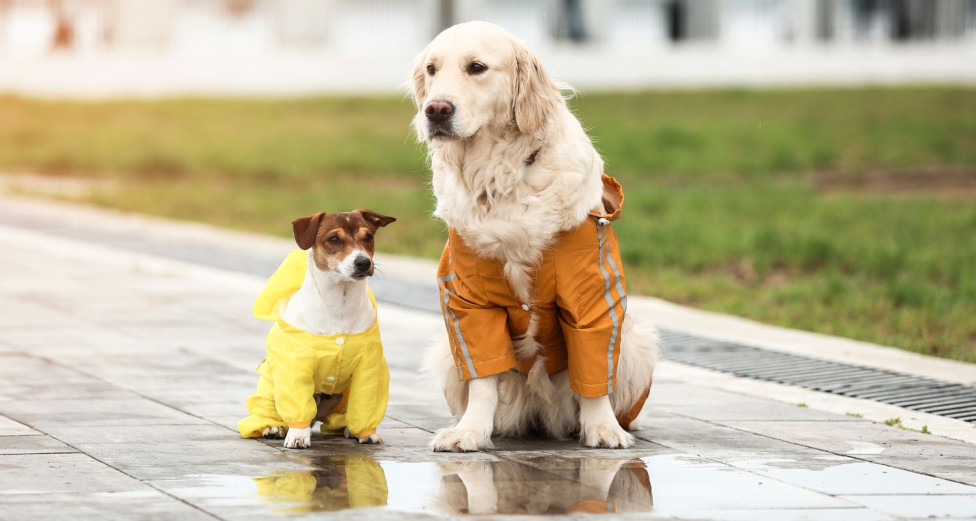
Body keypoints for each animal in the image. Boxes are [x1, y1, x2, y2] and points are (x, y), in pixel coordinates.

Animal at [408, 20, 660, 450]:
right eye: (431, 69)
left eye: (477, 67)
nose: (436, 110)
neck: (502, 177)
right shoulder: (467, 300)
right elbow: (483, 376)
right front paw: (470, 432)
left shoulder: (592, 298)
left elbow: (593, 373)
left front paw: (603, 429)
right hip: (445, 352)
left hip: (637, 341)